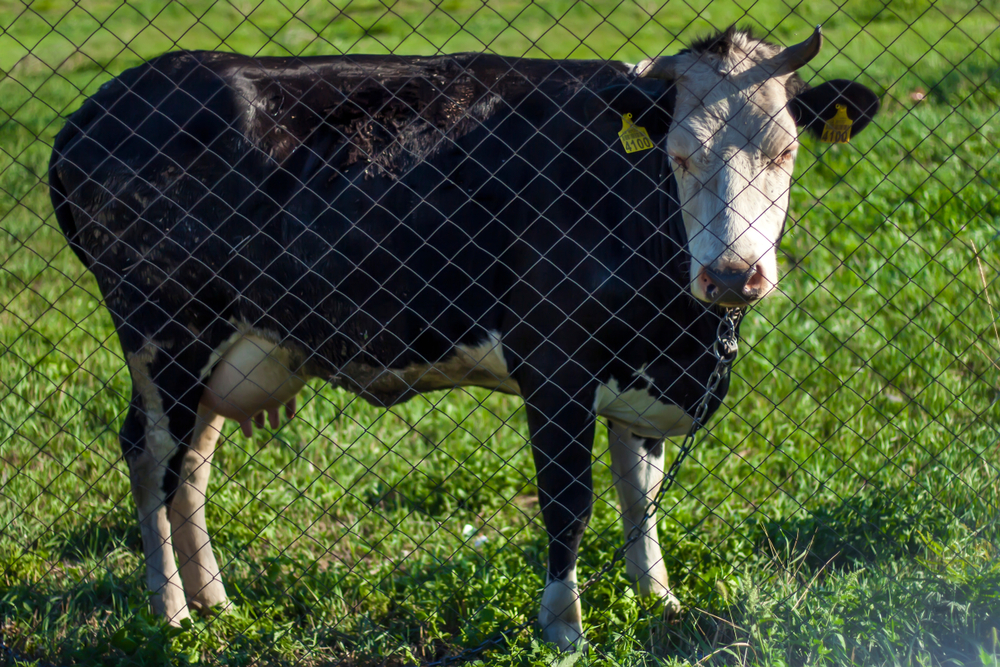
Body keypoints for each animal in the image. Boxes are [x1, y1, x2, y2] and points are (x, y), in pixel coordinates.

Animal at [48, 26, 876, 652]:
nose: (734, 275)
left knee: (190, 467)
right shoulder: (554, 361)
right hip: (165, 332)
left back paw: (216, 602)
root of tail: (101, 105)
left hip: (226, 347)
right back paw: (170, 613)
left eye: (784, 151)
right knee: (151, 455)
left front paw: (658, 602)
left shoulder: (640, 373)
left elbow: (639, 496)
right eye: (679, 154)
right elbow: (567, 502)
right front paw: (563, 627)